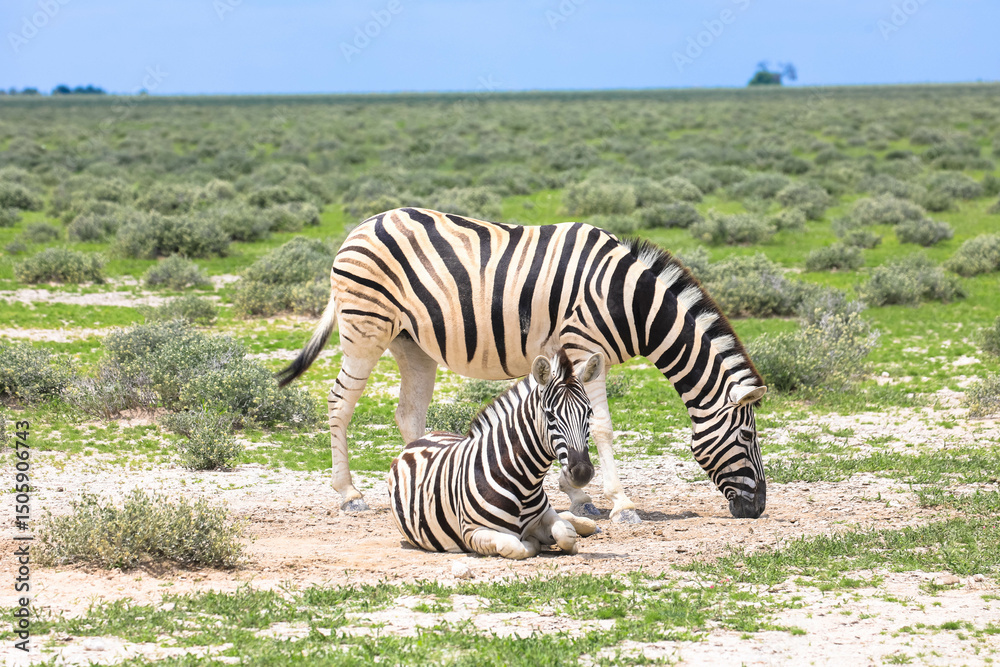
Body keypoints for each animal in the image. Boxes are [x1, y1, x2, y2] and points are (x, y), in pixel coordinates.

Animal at [277, 207, 768, 523]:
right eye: (747, 436)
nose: (758, 508)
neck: (630, 302)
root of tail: (361, 226)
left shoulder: (572, 356)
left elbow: (571, 422)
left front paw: (578, 496)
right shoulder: (584, 346)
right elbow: (603, 428)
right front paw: (621, 504)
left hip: (411, 343)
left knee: (408, 413)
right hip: (366, 329)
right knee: (339, 402)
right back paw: (349, 495)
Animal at [388, 349, 602, 559]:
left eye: (589, 412)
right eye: (550, 416)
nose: (582, 472)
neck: (524, 484)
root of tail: (421, 439)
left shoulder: (545, 516)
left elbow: (565, 534)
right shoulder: (473, 533)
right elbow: (515, 545)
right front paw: (533, 542)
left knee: (568, 519)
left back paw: (588, 524)